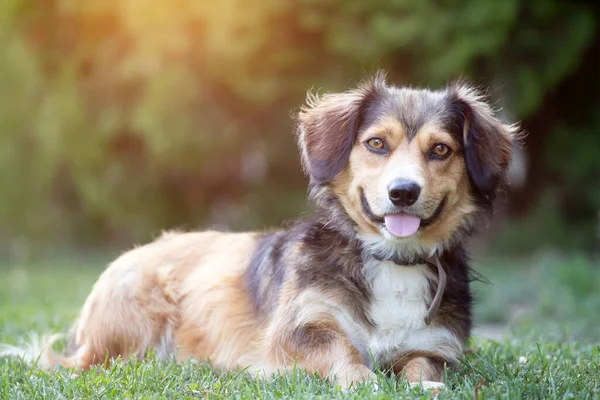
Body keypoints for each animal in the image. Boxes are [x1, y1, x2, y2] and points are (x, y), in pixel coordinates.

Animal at [1, 72, 516, 390]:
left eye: (441, 150)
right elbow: (342, 351)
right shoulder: (297, 331)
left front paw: (424, 384)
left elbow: (424, 363)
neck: (387, 258)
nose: (403, 192)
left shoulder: (435, 343)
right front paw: (363, 381)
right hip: (126, 329)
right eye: (376, 144)